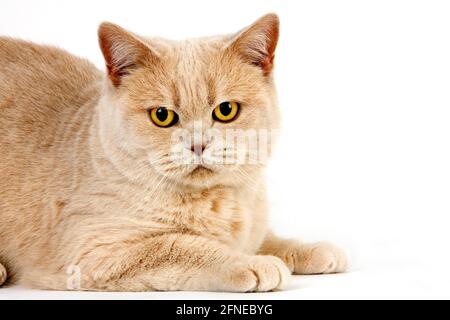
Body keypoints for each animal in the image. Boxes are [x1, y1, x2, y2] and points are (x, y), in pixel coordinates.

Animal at [0, 13, 348, 292]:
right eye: (162, 116)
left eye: (226, 110)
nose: (198, 144)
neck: (219, 202)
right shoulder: (93, 252)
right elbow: (181, 245)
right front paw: (252, 263)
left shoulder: (253, 227)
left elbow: (269, 239)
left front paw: (314, 250)